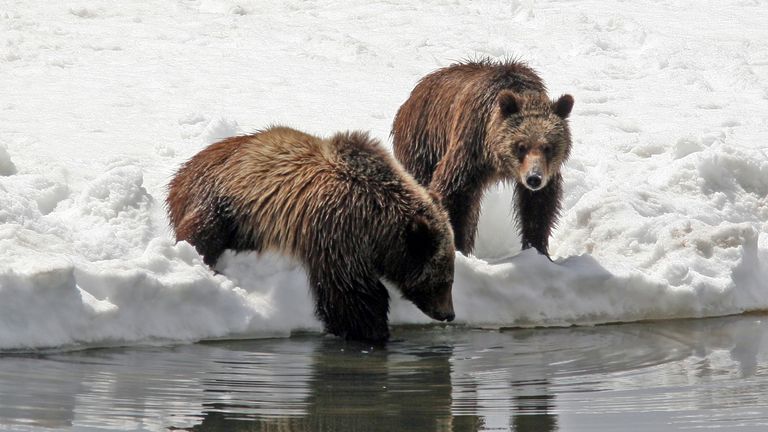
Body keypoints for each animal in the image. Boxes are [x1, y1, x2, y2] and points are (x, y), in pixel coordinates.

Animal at [166, 126, 456, 342]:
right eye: (444, 280)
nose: (449, 314)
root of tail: (182, 171)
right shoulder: (338, 231)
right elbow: (350, 292)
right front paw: (373, 331)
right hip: (222, 198)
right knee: (203, 232)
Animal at [392, 58, 572, 258]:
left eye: (548, 147)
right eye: (521, 146)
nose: (534, 178)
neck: (499, 163)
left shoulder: (546, 173)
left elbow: (538, 206)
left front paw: (538, 250)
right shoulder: (471, 148)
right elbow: (454, 193)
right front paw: (457, 247)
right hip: (422, 144)